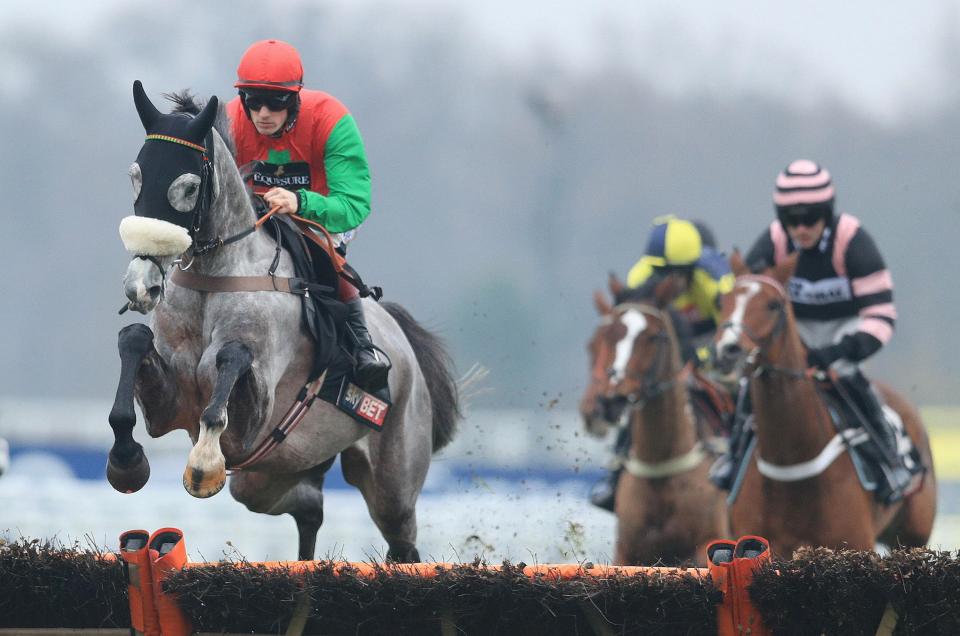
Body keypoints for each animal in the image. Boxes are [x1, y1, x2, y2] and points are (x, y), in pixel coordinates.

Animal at [107, 80, 460, 560]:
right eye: (136, 175)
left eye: (188, 186)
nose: (140, 285)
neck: (214, 278)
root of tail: (405, 345)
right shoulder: (171, 407)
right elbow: (133, 338)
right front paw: (125, 460)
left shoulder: (252, 421)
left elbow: (232, 359)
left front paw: (204, 463)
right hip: (272, 472)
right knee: (309, 505)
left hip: (394, 482)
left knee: (402, 541)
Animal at [580, 276, 732, 564]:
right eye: (605, 337)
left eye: (653, 336)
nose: (611, 400)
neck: (660, 465)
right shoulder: (627, 552)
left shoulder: (708, 543)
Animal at [716, 253, 932, 556]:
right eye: (724, 301)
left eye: (773, 305)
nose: (728, 350)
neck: (791, 468)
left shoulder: (856, 543)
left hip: (914, 534)